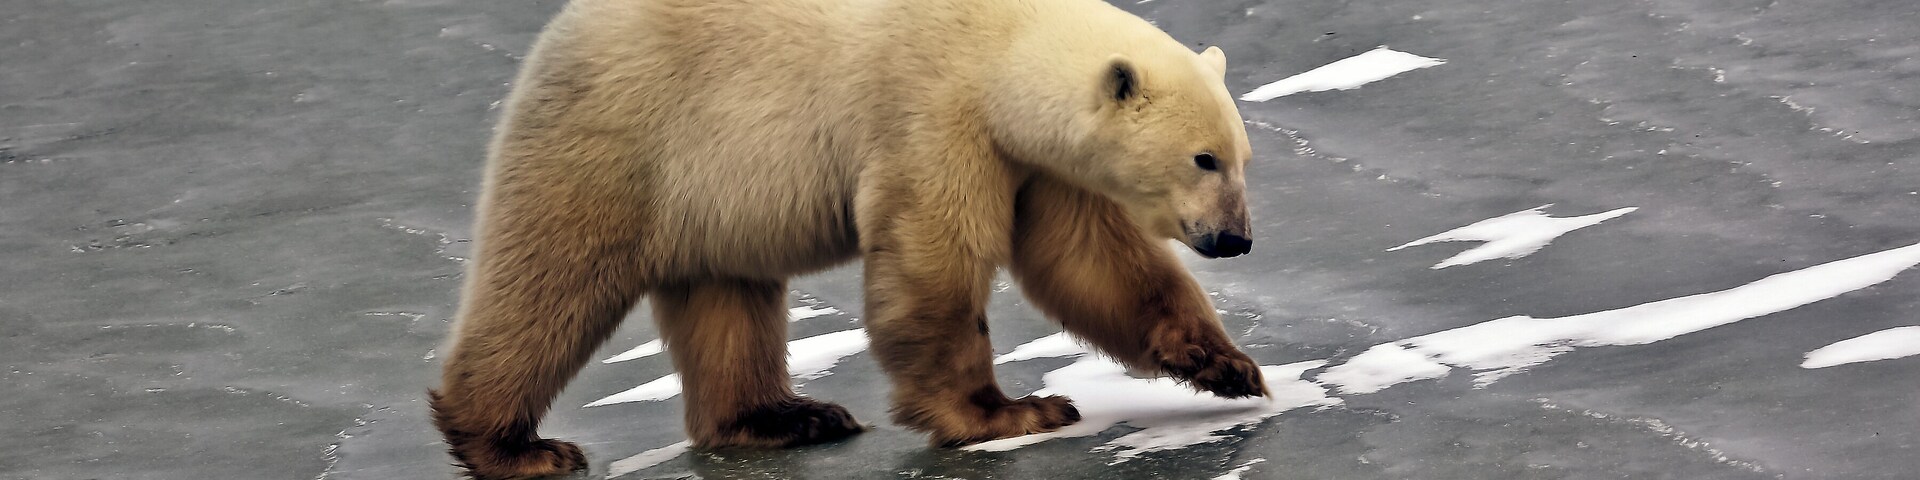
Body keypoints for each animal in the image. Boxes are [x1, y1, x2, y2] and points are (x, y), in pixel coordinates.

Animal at [428, 0, 1265, 477]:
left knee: (726, 299)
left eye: (1242, 157)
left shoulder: (1035, 161)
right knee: (549, 280)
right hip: (625, 136)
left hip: (710, 191)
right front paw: (1008, 413)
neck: (1001, 42)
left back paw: (786, 416)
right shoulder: (932, 112)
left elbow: (1093, 263)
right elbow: (934, 261)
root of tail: (559, 34)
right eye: (1203, 158)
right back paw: (515, 446)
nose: (1235, 239)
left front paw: (1228, 366)